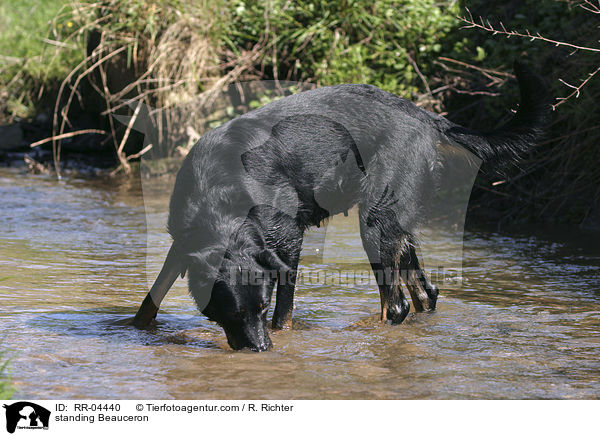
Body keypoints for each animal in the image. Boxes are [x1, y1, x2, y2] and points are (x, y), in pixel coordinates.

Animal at [135, 62, 548, 350]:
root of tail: (426, 118)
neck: (219, 197)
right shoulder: (183, 243)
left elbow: (284, 315)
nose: (261, 350)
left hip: (375, 223)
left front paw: (282, 336)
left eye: (261, 308)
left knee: (395, 305)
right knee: (424, 293)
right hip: (396, 223)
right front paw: (134, 329)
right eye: (233, 312)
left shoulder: (287, 243)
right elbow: (151, 298)